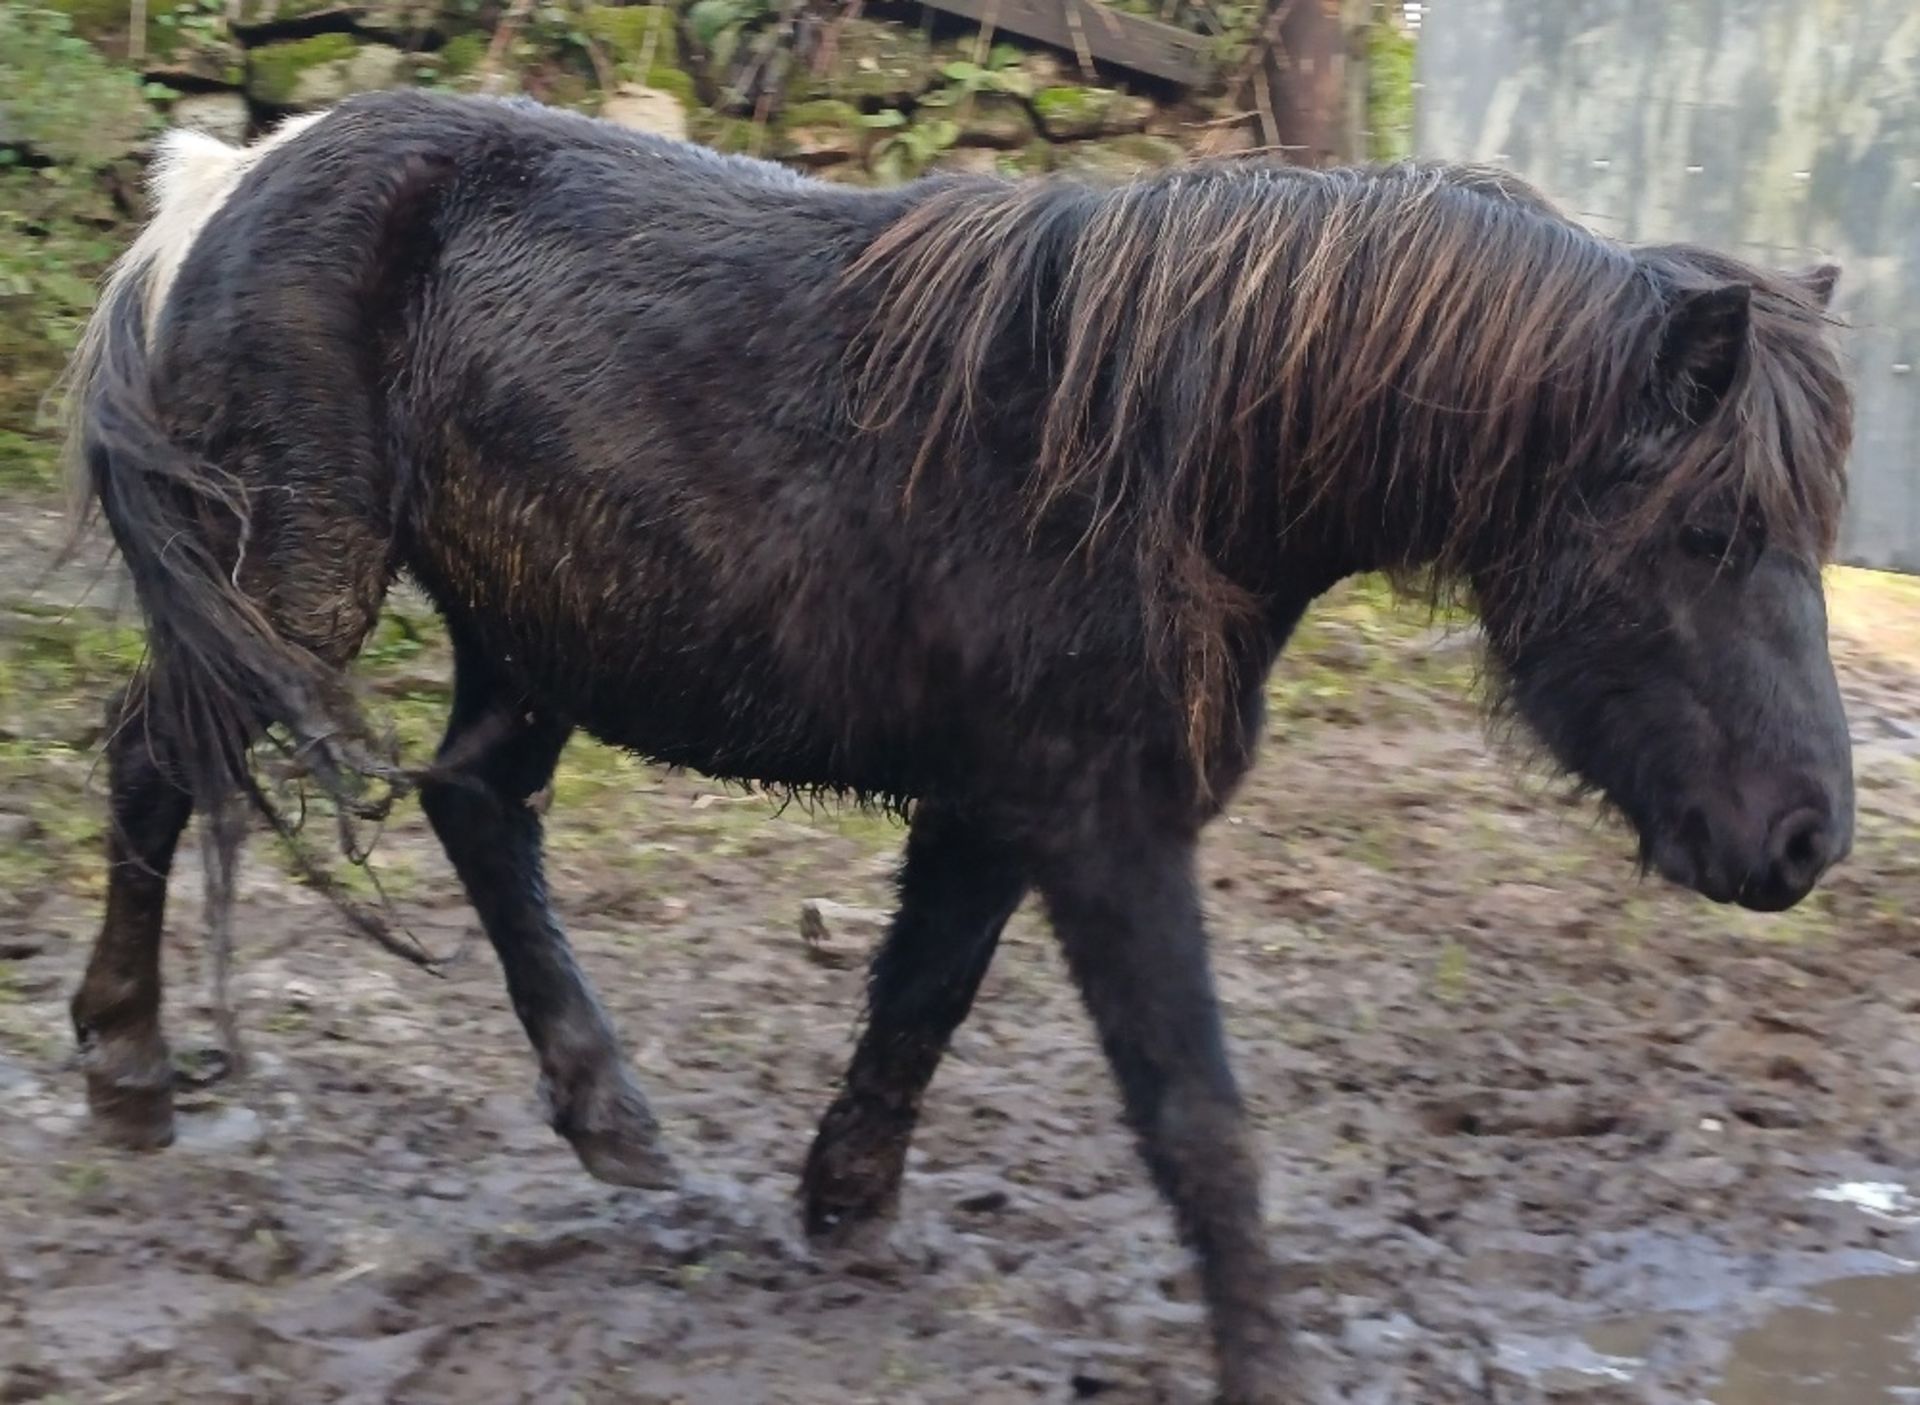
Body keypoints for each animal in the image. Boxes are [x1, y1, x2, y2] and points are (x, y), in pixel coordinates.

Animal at [63, 90, 1858, 1405]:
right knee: (158, 760)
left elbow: (922, 1002)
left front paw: (843, 1212)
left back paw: (614, 1124)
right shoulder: (1102, 822)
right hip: (295, 588)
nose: (1808, 839)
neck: (1165, 458)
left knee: (481, 810)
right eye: (1710, 535)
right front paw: (1263, 1361)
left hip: (522, 634)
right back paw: (131, 1069)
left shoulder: (1001, 810)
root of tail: (226, 181)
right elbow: (1198, 1116)